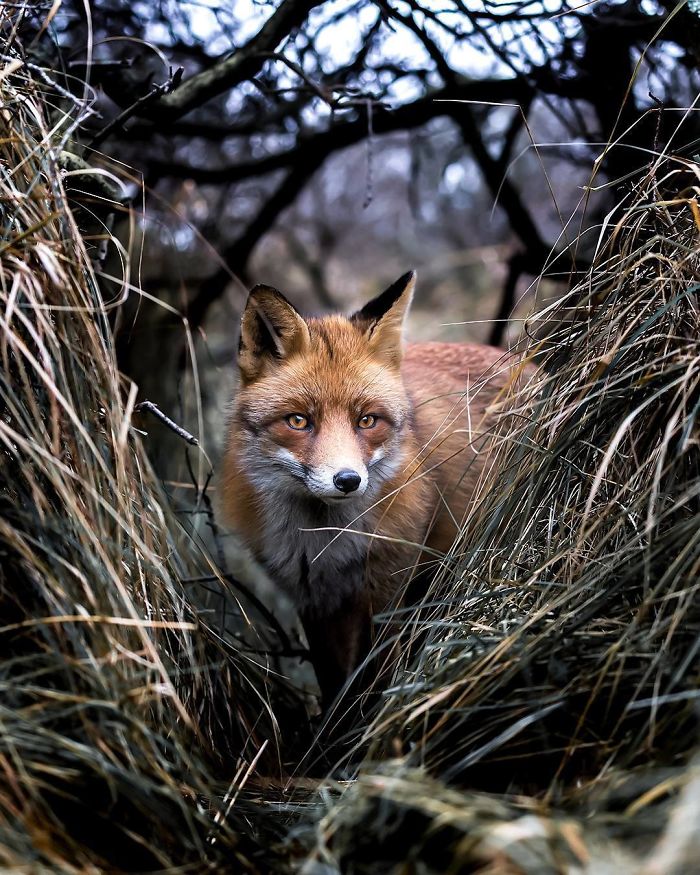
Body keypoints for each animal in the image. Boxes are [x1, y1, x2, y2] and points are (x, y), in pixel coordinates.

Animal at [221, 271, 521, 708]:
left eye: (367, 420)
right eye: (298, 421)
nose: (347, 480)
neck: (324, 542)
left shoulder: (388, 586)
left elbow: (373, 673)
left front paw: (365, 719)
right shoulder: (310, 597)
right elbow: (332, 677)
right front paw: (331, 724)